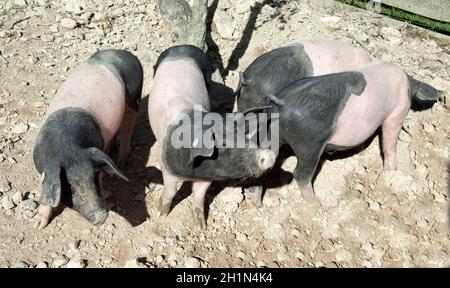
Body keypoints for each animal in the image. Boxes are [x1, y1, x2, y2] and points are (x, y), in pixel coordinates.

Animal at [32, 49, 143, 230]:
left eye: (94, 178)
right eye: (69, 186)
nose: (101, 217)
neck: (68, 149)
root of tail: (126, 53)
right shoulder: (43, 169)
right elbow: (46, 191)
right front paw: (37, 225)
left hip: (134, 96)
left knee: (128, 127)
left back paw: (121, 162)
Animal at [149, 44, 276, 230]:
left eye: (243, 135)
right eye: (221, 143)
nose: (269, 154)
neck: (191, 172)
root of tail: (181, 48)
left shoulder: (207, 178)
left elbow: (199, 197)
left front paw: (201, 226)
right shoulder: (165, 165)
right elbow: (170, 192)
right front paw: (161, 214)